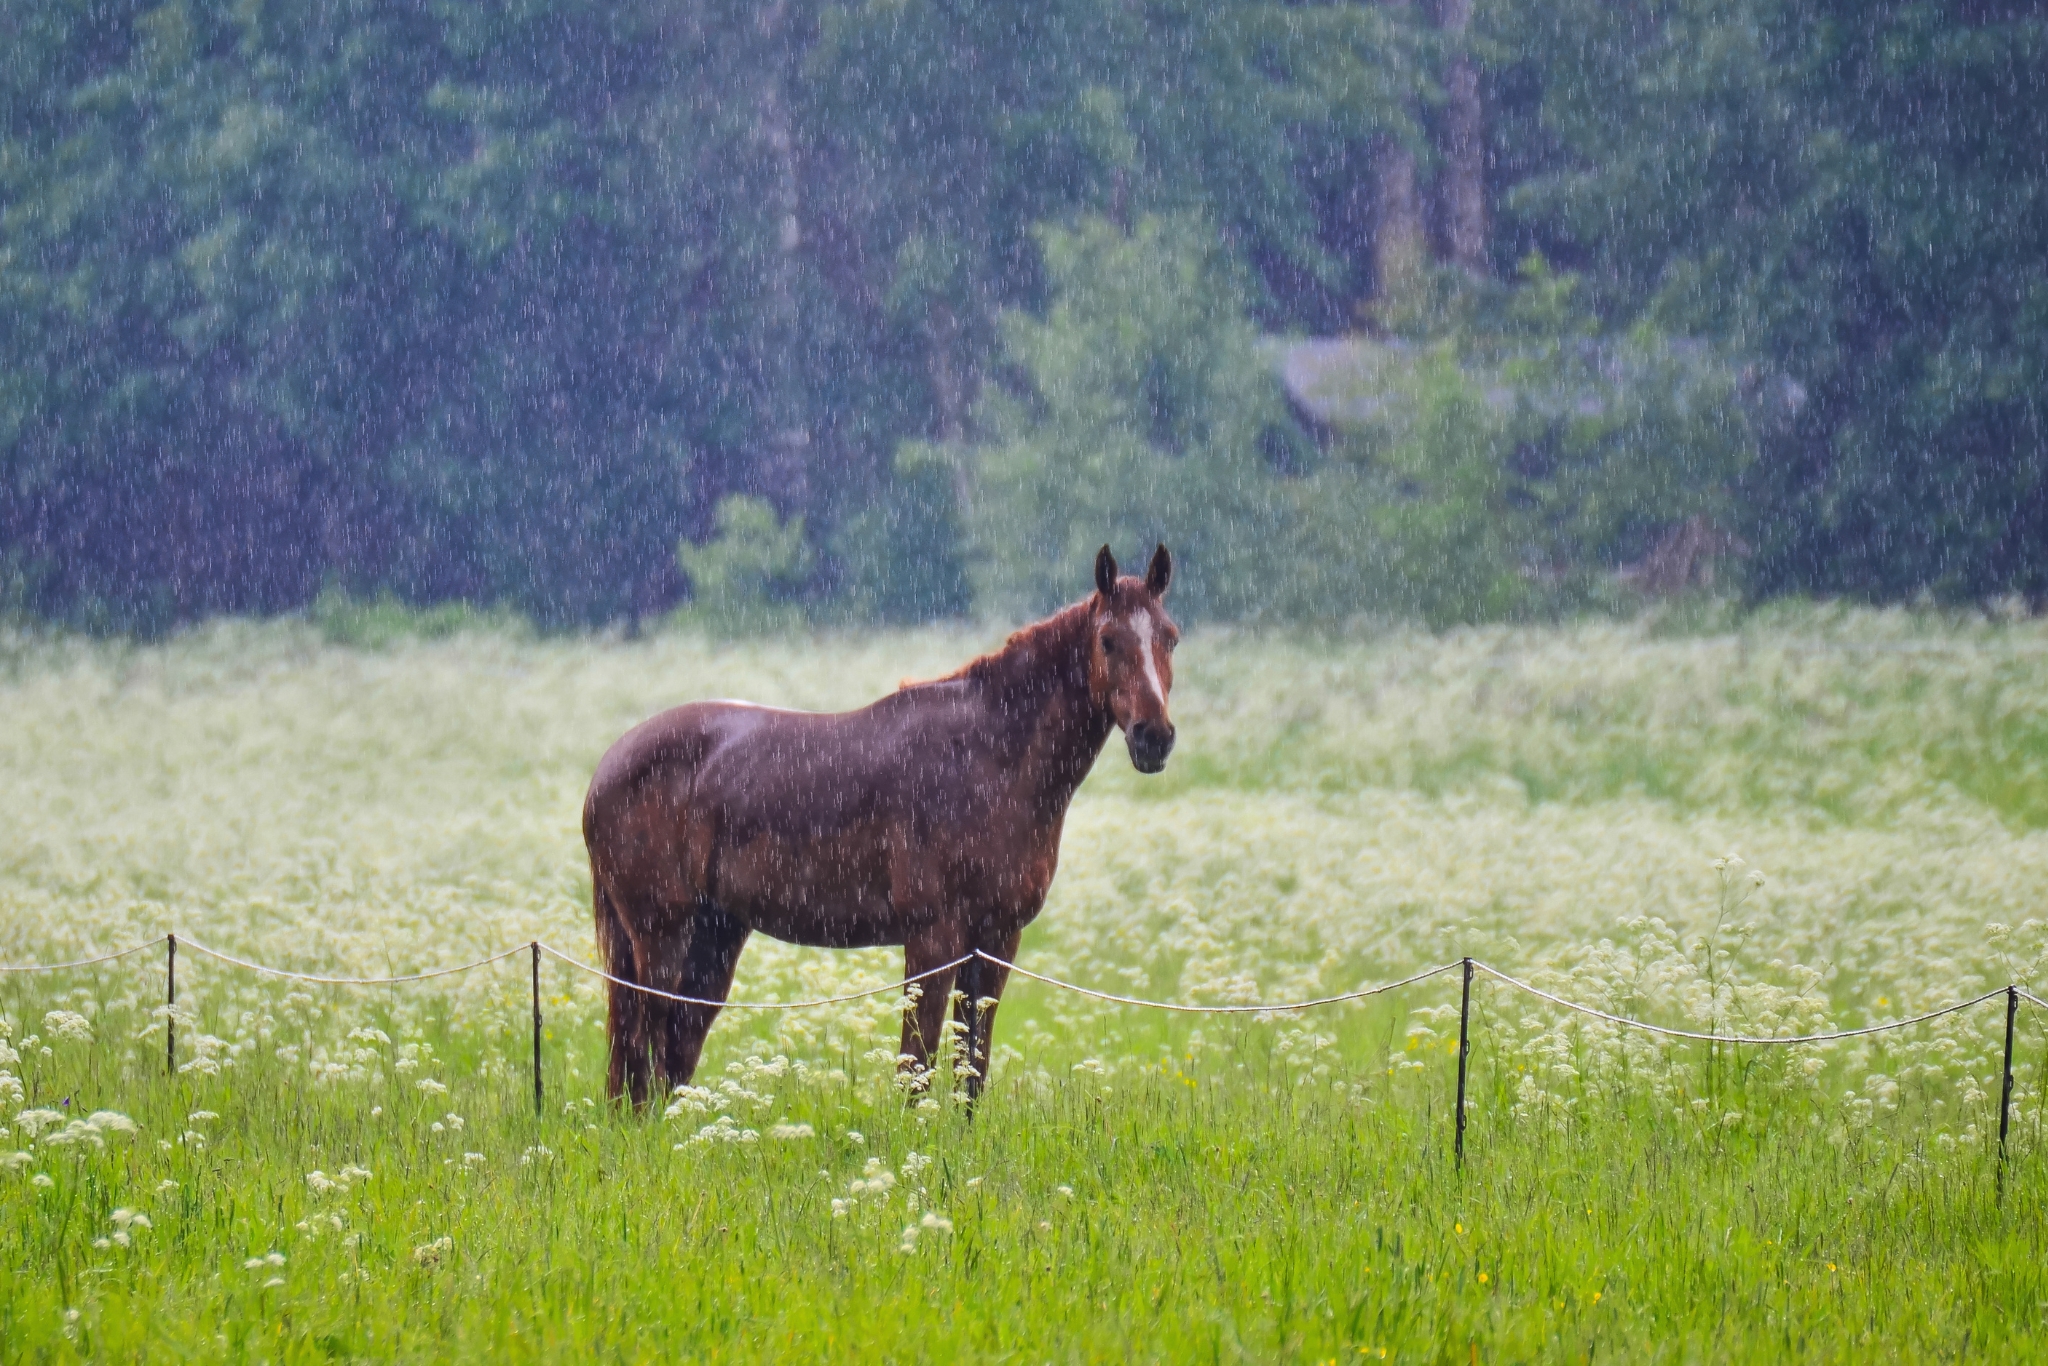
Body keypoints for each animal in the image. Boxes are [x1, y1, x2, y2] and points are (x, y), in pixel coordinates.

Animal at [583, 543, 1179, 1107]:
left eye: (1169, 639)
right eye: (1108, 640)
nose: (1154, 737)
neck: (986, 756)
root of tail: (608, 766)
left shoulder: (996, 941)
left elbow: (971, 1067)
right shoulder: (934, 938)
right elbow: (917, 1067)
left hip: (716, 935)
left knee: (674, 1047)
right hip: (662, 935)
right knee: (647, 1043)